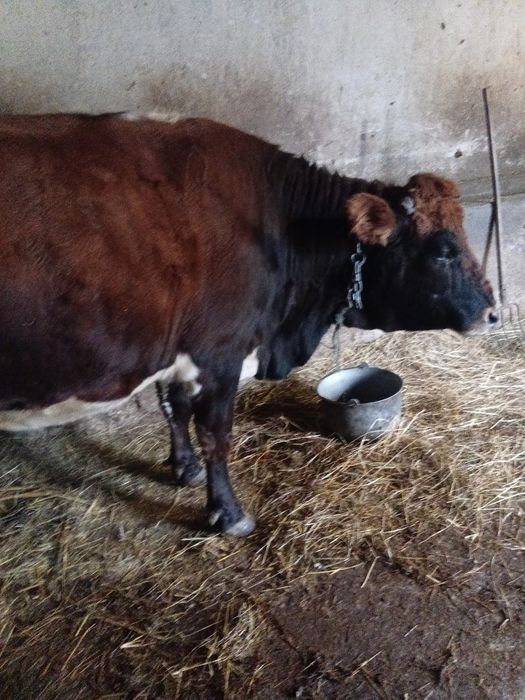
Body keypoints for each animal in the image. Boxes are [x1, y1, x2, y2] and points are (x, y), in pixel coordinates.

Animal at [0, 113, 496, 535]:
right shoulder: (220, 351)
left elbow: (173, 407)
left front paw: (183, 468)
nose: (492, 311)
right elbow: (215, 434)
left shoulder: (175, 346)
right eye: (443, 251)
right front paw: (229, 514)